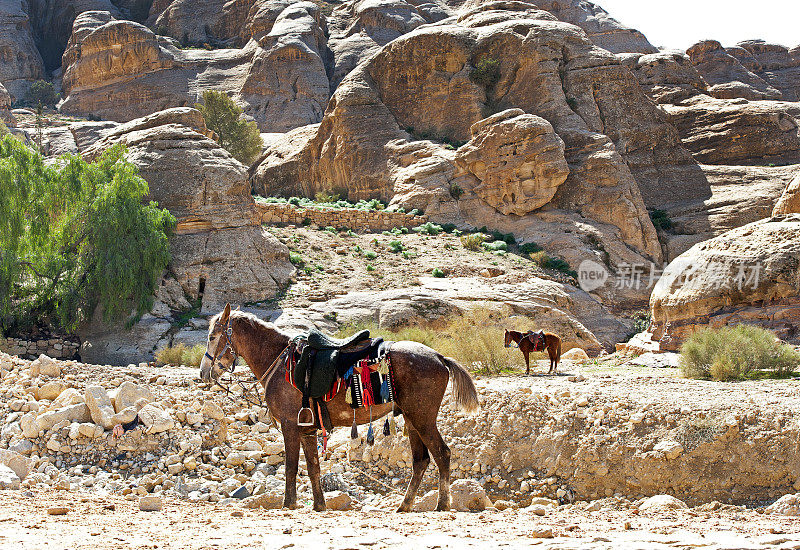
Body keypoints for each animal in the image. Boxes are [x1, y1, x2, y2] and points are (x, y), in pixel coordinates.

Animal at [199, 306, 478, 512]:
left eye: (212, 337)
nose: (203, 372)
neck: (279, 362)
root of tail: (440, 357)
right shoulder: (307, 430)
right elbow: (313, 467)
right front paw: (319, 505)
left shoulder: (290, 426)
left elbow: (291, 467)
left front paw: (288, 504)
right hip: (411, 419)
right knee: (421, 461)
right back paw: (404, 506)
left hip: (422, 418)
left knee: (442, 454)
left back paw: (442, 505)